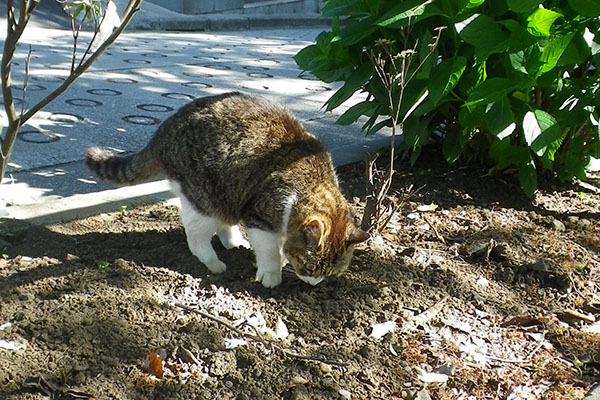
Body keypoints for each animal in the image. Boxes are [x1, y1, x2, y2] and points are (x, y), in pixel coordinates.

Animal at [84, 92, 368, 288]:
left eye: (330, 274)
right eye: (310, 269)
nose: (313, 284)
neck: (312, 182)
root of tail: (164, 129)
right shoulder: (259, 217)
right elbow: (268, 251)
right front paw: (271, 273)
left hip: (227, 193)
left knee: (223, 220)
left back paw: (232, 241)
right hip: (206, 197)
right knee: (194, 234)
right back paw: (214, 263)